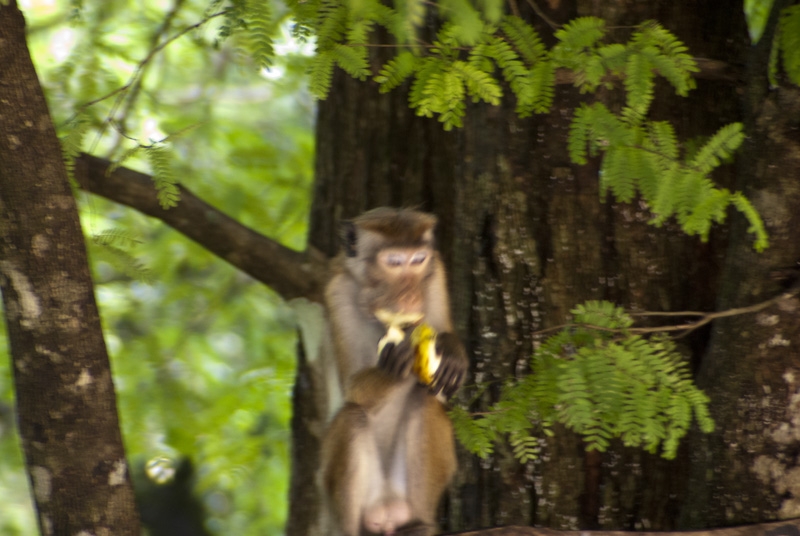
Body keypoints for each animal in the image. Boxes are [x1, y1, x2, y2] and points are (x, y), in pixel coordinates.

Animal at [320, 208, 466, 536]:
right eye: (395, 262)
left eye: (419, 259)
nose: (412, 297)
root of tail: (387, 510)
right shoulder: (337, 292)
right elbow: (352, 387)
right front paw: (395, 365)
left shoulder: (436, 275)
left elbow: (440, 390)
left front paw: (452, 349)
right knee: (351, 417)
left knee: (424, 403)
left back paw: (421, 524)